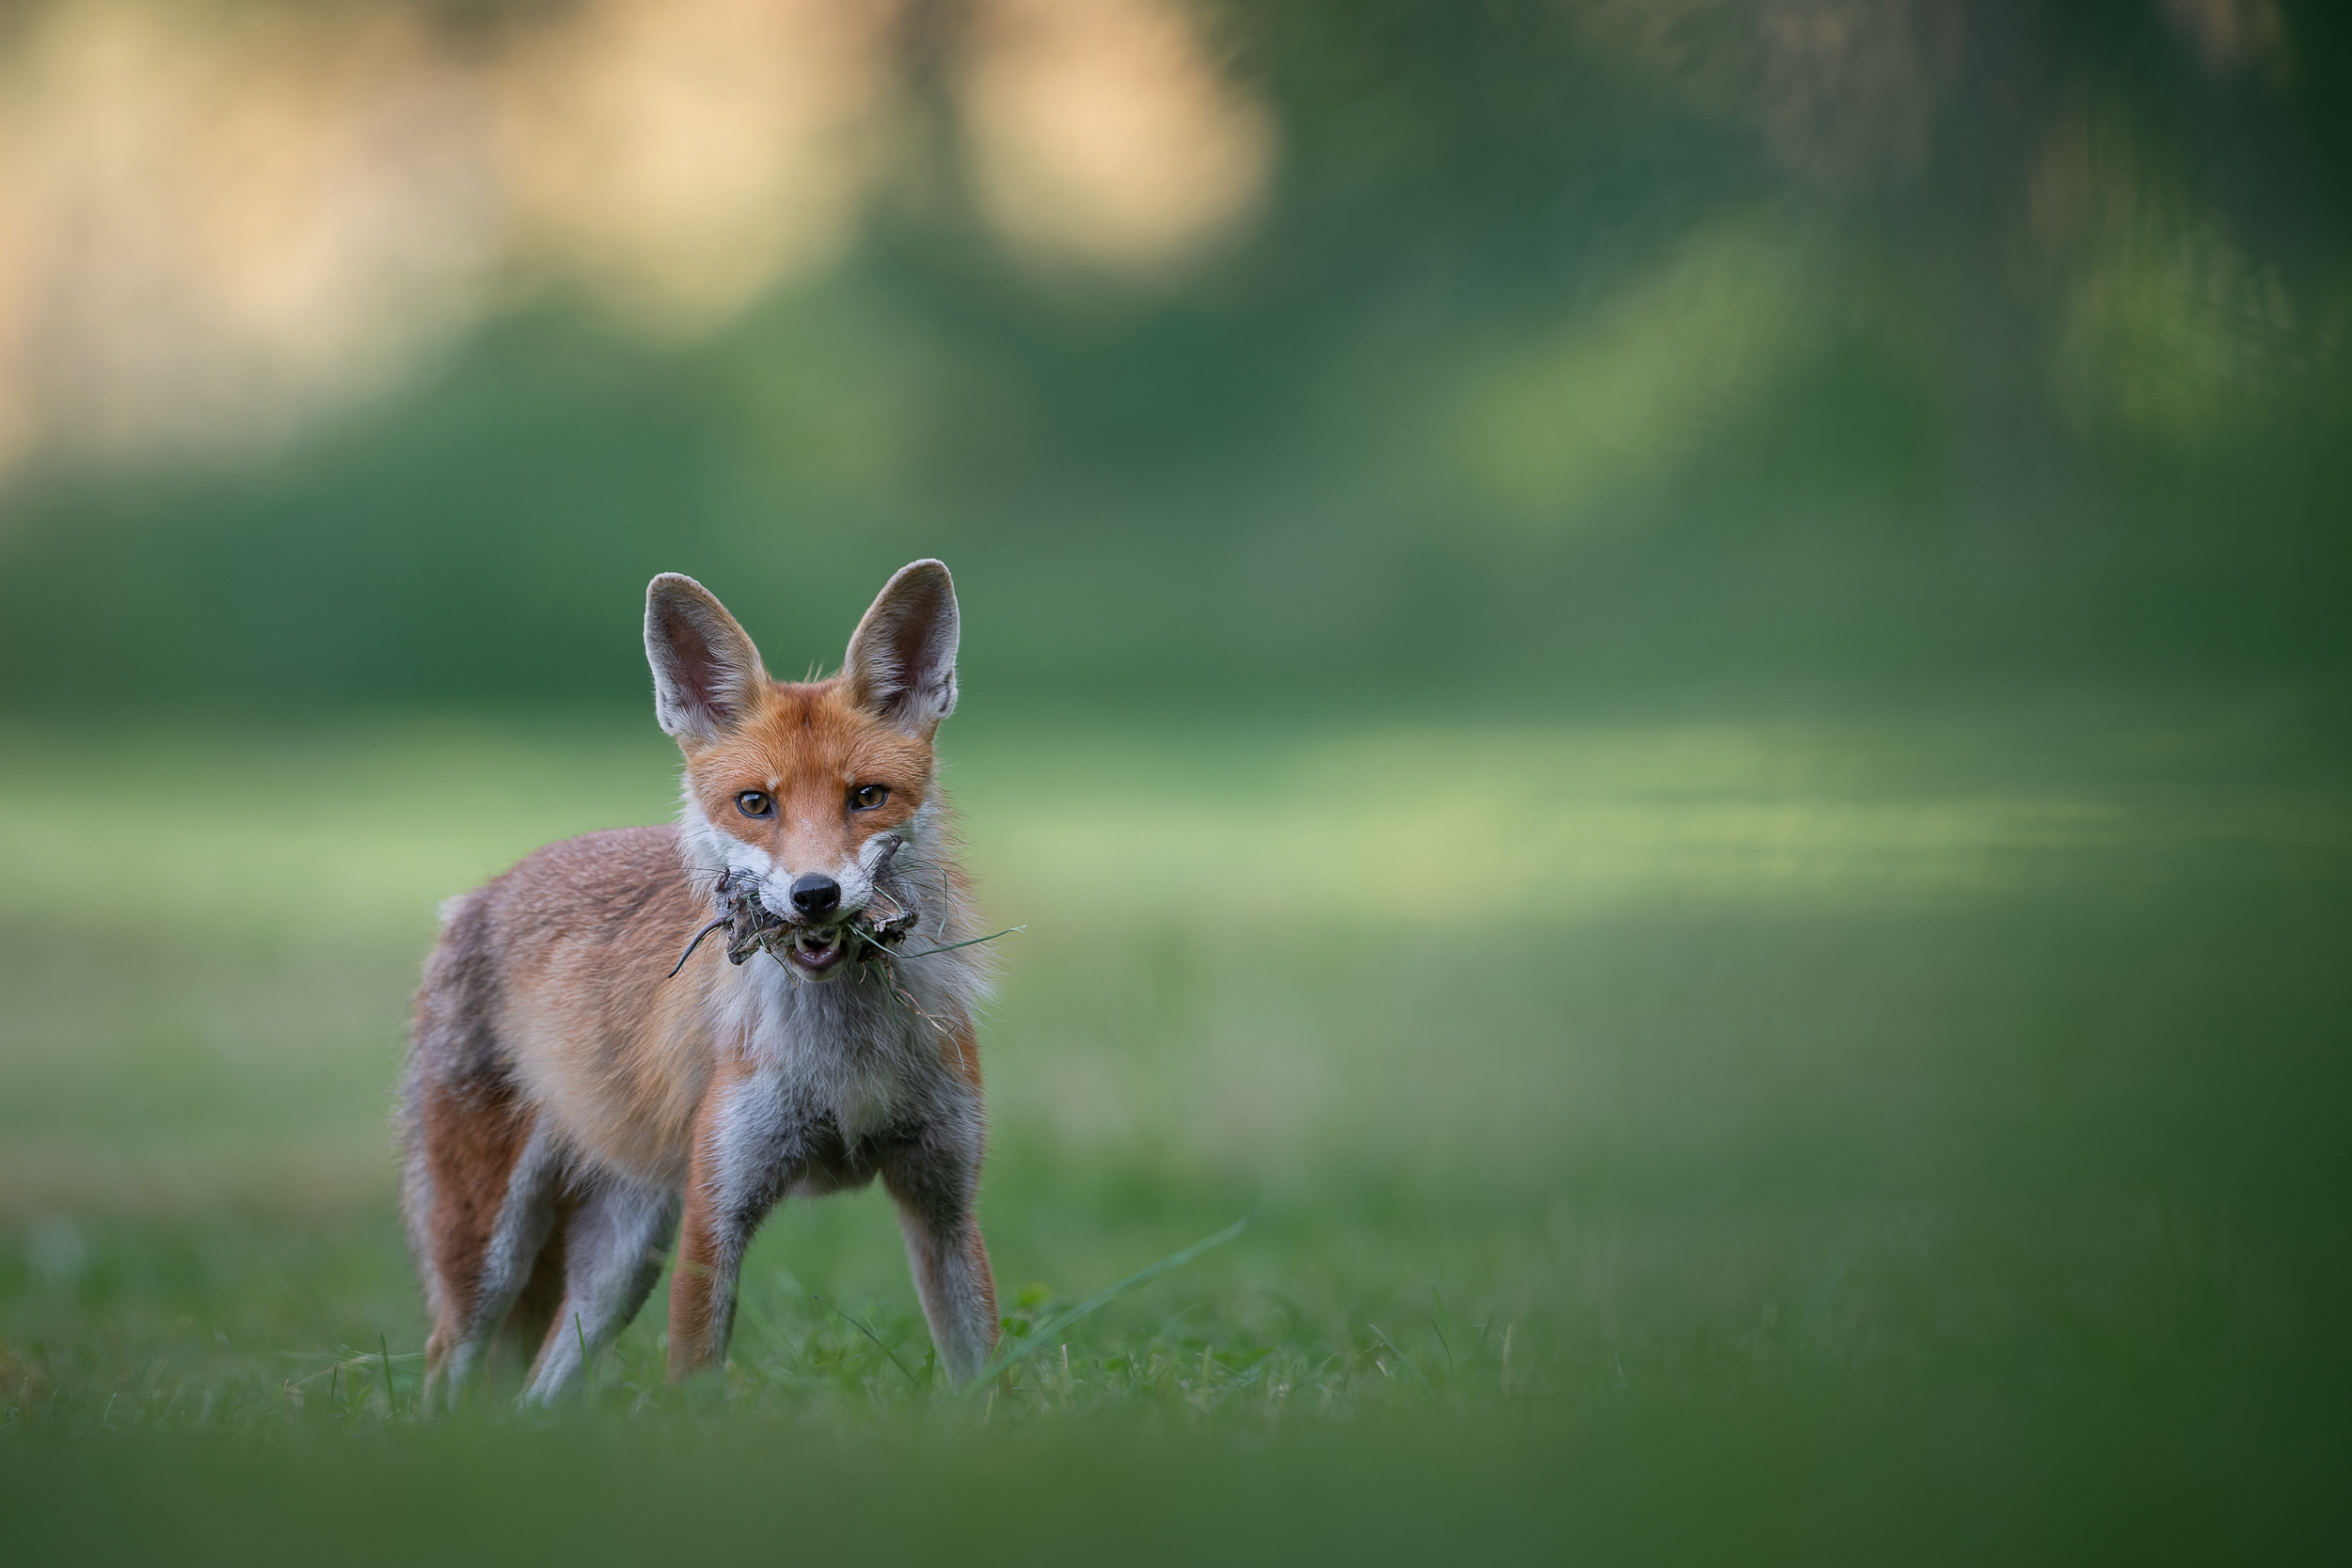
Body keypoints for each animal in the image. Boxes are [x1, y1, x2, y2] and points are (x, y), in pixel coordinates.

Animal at [400, 563, 997, 1410]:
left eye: (867, 796)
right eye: (755, 803)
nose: (815, 895)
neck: (844, 1061)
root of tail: (480, 893)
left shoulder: (944, 1205)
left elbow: (987, 1376)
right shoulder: (717, 1214)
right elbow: (694, 1385)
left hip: (619, 1265)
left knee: (534, 1394)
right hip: (489, 1254)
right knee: (443, 1365)